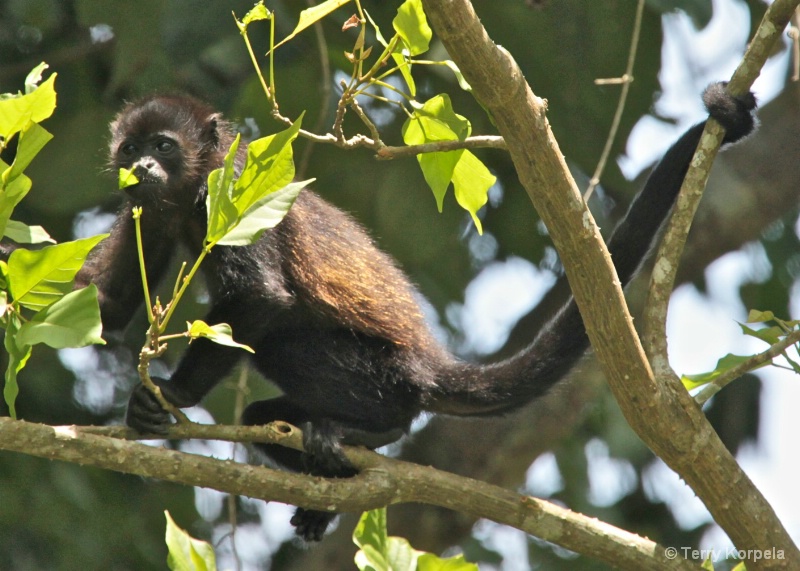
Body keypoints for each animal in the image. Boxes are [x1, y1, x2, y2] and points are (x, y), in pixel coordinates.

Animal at [73, 84, 756, 540]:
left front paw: (170, 395)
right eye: (130, 149)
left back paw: (374, 431)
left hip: (378, 370)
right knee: (261, 416)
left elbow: (263, 296)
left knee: (289, 343)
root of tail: (429, 363)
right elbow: (108, 305)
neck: (190, 188)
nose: (141, 165)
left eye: (164, 145)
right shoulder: (150, 210)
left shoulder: (235, 186)